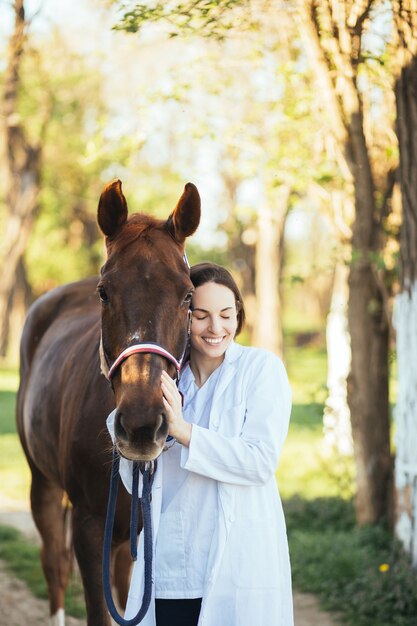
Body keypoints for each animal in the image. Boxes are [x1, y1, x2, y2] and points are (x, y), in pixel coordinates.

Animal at [17, 178, 202, 620]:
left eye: (188, 295)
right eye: (104, 293)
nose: (141, 425)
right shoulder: (89, 532)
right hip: (42, 483)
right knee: (54, 565)